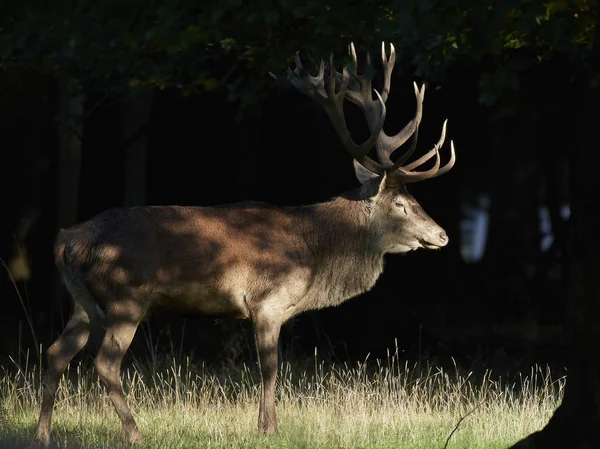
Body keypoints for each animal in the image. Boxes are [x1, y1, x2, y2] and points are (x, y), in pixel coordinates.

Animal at [34, 41, 454, 444]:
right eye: (401, 204)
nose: (442, 235)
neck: (315, 255)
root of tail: (66, 241)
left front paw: (267, 425)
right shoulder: (268, 300)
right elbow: (270, 367)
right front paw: (269, 428)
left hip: (84, 303)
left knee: (56, 352)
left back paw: (43, 433)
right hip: (126, 297)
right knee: (105, 362)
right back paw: (135, 434)